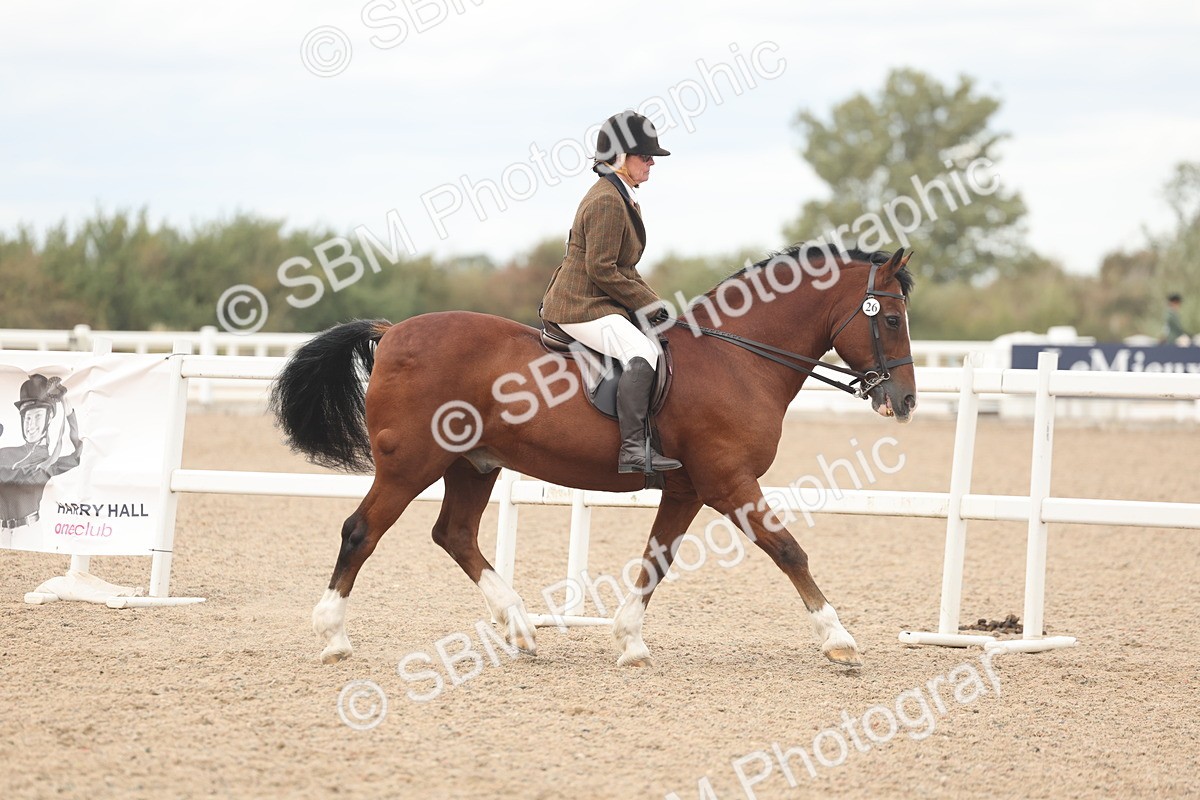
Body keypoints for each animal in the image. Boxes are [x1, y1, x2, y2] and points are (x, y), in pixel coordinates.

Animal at [269, 244, 916, 668]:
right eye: (888, 318)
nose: (905, 400)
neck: (739, 360)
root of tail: (394, 331)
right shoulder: (729, 482)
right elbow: (788, 549)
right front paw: (839, 640)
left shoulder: (689, 488)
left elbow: (656, 560)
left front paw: (629, 641)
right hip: (411, 465)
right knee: (361, 531)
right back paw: (334, 637)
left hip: (472, 464)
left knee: (454, 534)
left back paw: (520, 628)